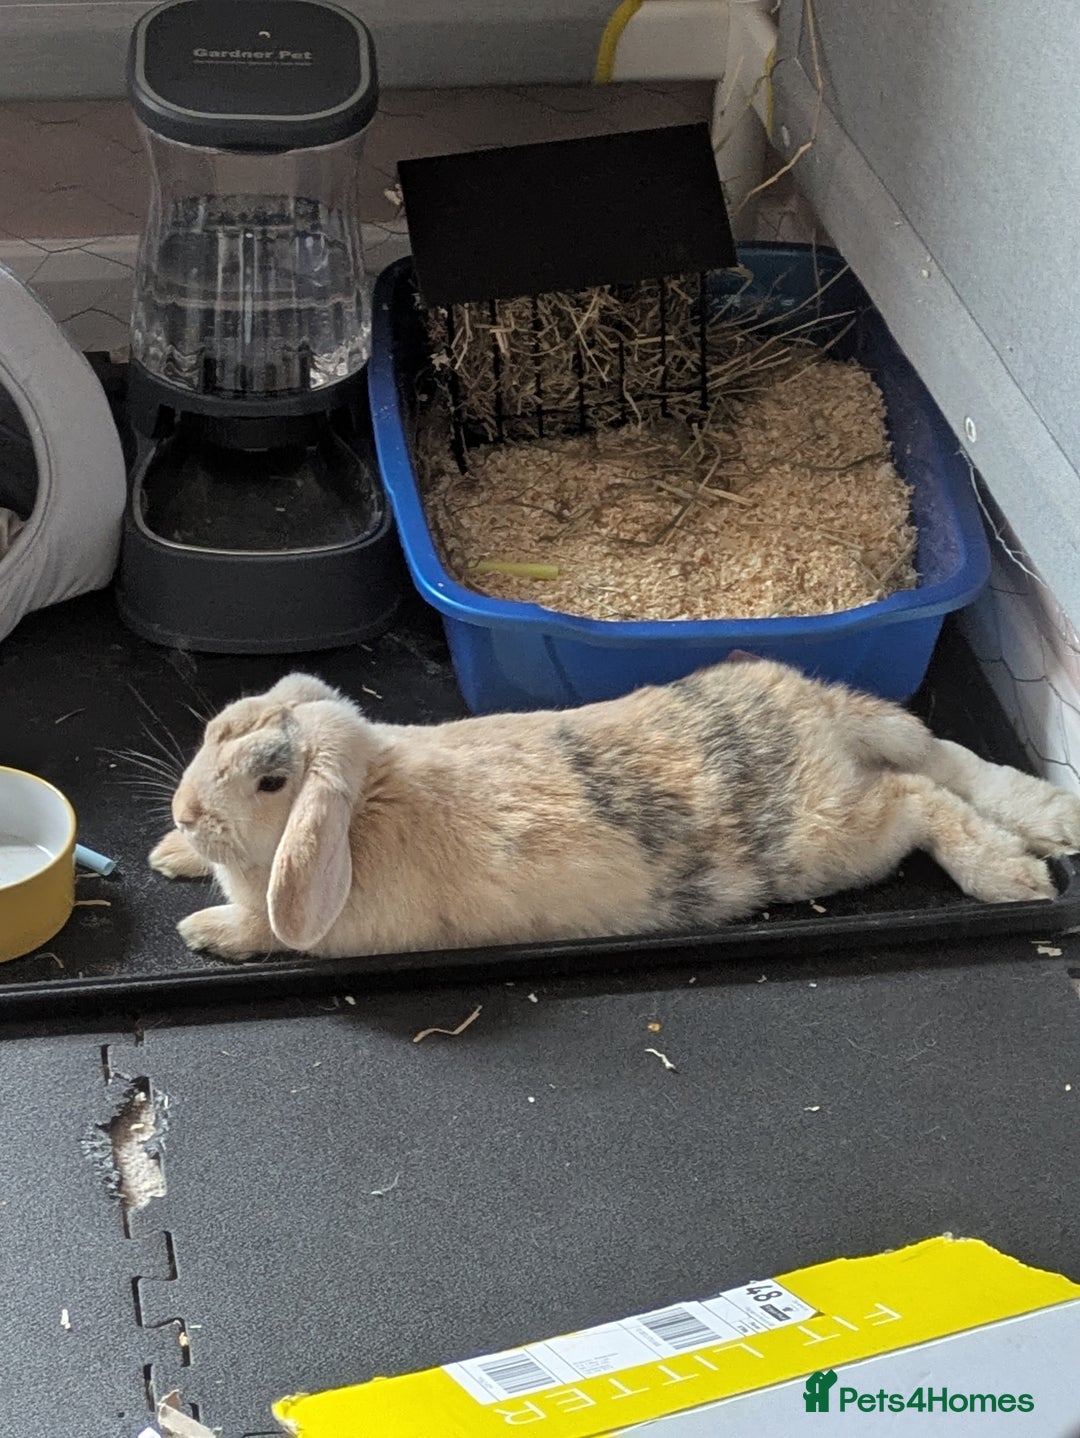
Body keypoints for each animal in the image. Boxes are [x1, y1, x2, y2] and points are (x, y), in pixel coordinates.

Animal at [148, 663, 1080, 962]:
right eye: (216, 728)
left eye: (273, 783)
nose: (187, 810)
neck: (365, 805)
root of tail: (820, 713)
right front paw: (169, 857)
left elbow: (264, 930)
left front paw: (202, 932)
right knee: (941, 761)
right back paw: (1048, 824)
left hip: (835, 837)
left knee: (917, 796)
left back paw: (1012, 875)